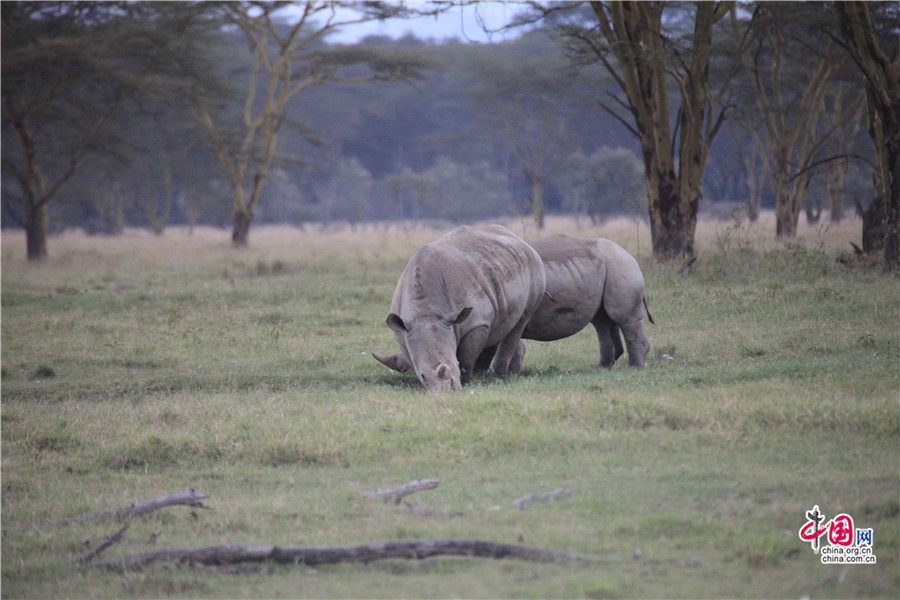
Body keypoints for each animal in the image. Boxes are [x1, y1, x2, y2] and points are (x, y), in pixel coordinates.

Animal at [370, 225, 544, 394]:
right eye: (423, 376)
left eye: (456, 366)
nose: (449, 390)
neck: (425, 313)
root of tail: (519, 239)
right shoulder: (403, 332)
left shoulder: (476, 322)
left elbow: (466, 358)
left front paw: (465, 383)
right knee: (501, 324)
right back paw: (498, 373)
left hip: (534, 267)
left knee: (520, 321)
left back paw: (494, 377)